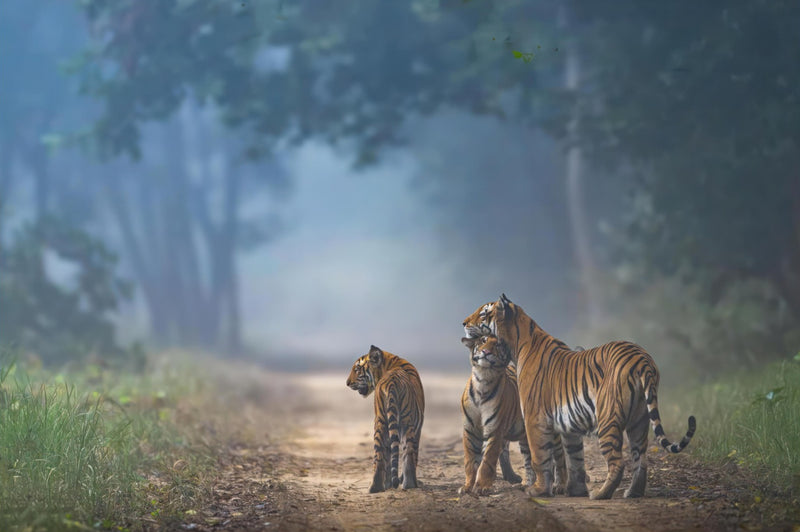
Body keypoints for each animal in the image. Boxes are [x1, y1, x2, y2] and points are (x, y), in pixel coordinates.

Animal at [346, 345, 425, 493]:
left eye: (357, 369)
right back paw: (410, 484)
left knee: (380, 456)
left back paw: (375, 487)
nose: (347, 383)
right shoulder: (418, 427)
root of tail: (391, 381)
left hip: (381, 422)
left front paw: (389, 484)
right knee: (407, 453)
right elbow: (414, 455)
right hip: (405, 422)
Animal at [460, 334, 533, 495]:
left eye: (498, 345)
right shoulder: (470, 429)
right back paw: (522, 481)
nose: (486, 352)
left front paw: (481, 487)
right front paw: (467, 486)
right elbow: (470, 460)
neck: (483, 378)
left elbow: (487, 460)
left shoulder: (494, 429)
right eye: (483, 341)